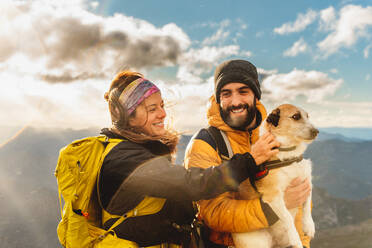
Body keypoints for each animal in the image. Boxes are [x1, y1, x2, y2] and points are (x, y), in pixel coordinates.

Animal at [232, 103, 316, 247]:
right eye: (296, 116)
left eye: (307, 116)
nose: (316, 131)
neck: (289, 155)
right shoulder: (273, 196)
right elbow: (287, 217)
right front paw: (295, 238)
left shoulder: (306, 182)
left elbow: (306, 207)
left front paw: (309, 226)